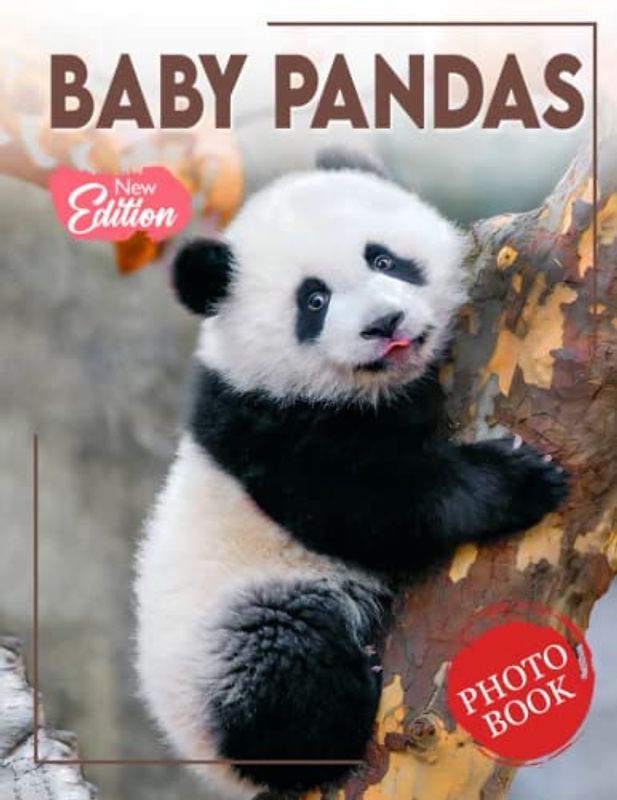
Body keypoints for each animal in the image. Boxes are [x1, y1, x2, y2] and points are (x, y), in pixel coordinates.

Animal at [134, 150, 568, 800]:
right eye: (313, 302)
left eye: (383, 259)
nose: (385, 322)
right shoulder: (265, 425)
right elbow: (365, 504)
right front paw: (520, 480)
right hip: (228, 632)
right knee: (287, 659)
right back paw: (336, 714)